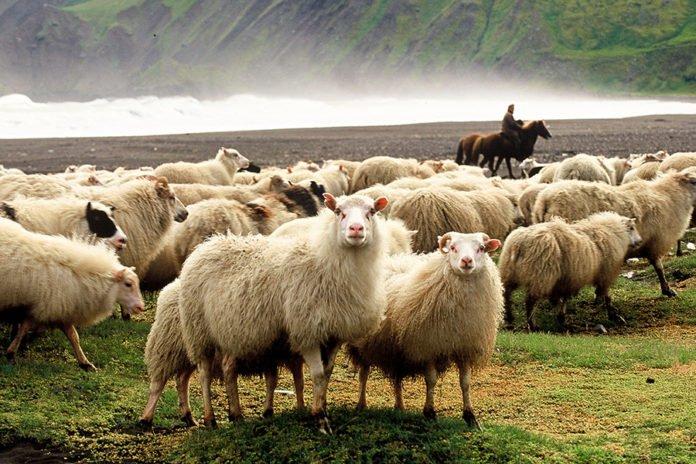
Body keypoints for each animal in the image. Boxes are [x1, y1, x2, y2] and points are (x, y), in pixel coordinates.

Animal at [0, 218, 144, 370]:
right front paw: (11, 353)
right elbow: (24, 328)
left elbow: (74, 337)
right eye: (128, 284)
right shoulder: (45, 306)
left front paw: (85, 363)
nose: (141, 307)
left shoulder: (60, 308)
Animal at [178, 193, 389, 433]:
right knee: (204, 373)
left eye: (371, 211)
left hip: (231, 329)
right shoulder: (306, 330)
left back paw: (236, 415)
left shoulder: (333, 333)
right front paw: (320, 418)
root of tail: (208, 244)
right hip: (199, 330)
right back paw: (210, 418)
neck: (325, 260)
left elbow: (327, 373)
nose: (356, 229)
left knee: (228, 368)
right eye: (338, 212)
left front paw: (322, 409)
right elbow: (317, 374)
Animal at [348, 232, 503, 427]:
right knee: (364, 374)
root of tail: (392, 263)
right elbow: (431, 380)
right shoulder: (428, 345)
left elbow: (465, 382)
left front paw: (470, 416)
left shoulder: (465, 347)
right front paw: (429, 413)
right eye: (453, 247)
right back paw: (361, 404)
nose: (466, 261)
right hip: (363, 345)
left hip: (395, 349)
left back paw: (399, 407)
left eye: (481, 248)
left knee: (397, 378)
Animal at [499, 212, 641, 330]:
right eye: (632, 228)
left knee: (506, 294)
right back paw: (532, 325)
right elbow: (607, 296)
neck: (613, 231)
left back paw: (509, 317)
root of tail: (518, 245)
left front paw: (561, 318)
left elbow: (562, 299)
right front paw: (614, 315)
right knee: (530, 301)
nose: (640, 242)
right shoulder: (604, 274)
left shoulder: (567, 278)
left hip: (509, 273)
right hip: (541, 276)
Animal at [532, 168, 696, 297]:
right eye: (694, 181)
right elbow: (659, 268)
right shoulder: (655, 243)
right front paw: (667, 290)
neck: (670, 196)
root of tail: (545, 200)